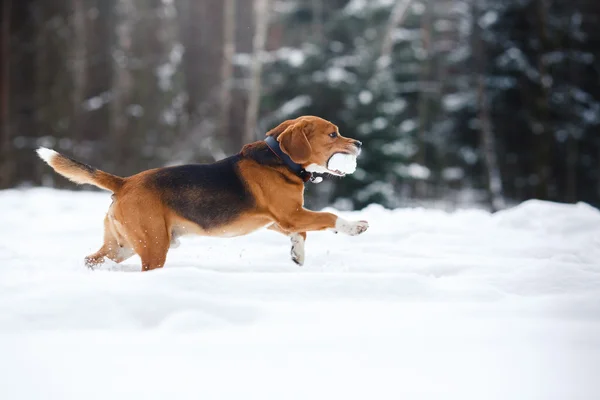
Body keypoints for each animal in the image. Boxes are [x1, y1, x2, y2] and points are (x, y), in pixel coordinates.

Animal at [37, 116, 368, 272]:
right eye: (333, 134)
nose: (360, 143)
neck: (279, 159)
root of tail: (124, 182)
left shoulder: (279, 220)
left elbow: (302, 233)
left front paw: (297, 254)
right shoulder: (290, 214)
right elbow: (328, 216)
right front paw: (355, 226)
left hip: (122, 245)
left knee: (91, 259)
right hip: (152, 245)